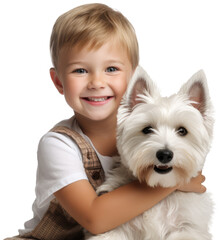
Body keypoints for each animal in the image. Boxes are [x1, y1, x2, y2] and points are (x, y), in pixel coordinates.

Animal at [86, 66, 214, 240]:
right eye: (147, 129)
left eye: (182, 131)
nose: (165, 155)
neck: (158, 186)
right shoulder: (116, 228)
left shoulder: (189, 228)